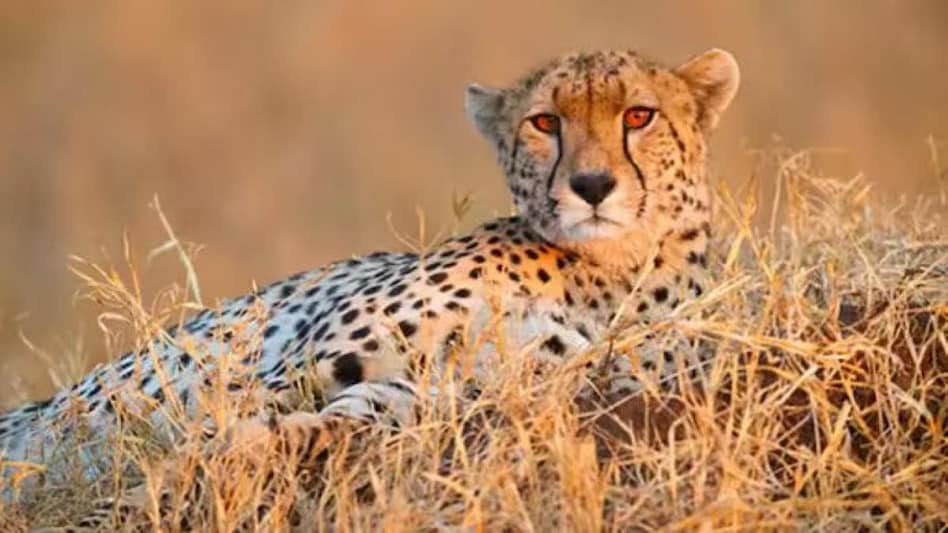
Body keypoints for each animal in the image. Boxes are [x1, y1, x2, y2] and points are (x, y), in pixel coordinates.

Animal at [0, 46, 739, 529]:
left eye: (639, 117)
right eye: (544, 122)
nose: (591, 185)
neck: (602, 273)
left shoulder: (443, 392)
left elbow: (300, 427)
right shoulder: (298, 366)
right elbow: (210, 420)